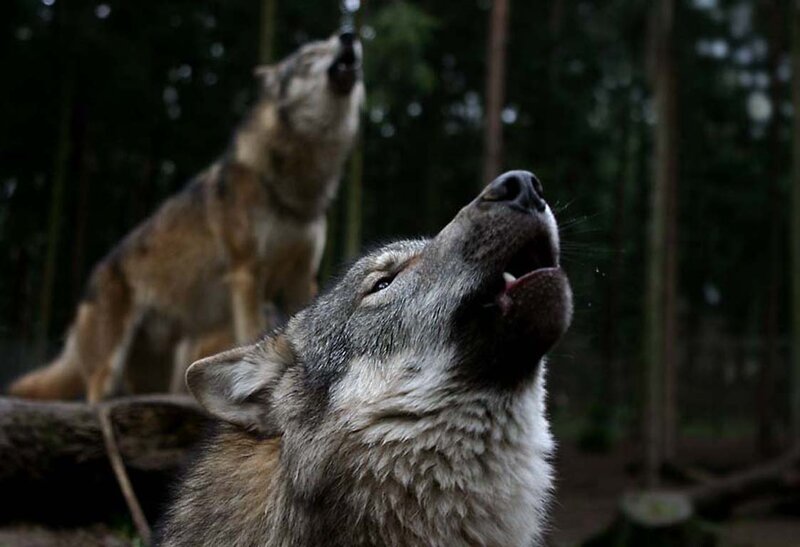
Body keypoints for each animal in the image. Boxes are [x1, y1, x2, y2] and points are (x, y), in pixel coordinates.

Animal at [8, 31, 364, 402]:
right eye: (311, 54)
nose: (349, 35)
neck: (294, 186)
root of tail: (93, 280)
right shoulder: (246, 271)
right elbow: (253, 330)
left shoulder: (301, 275)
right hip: (110, 369)